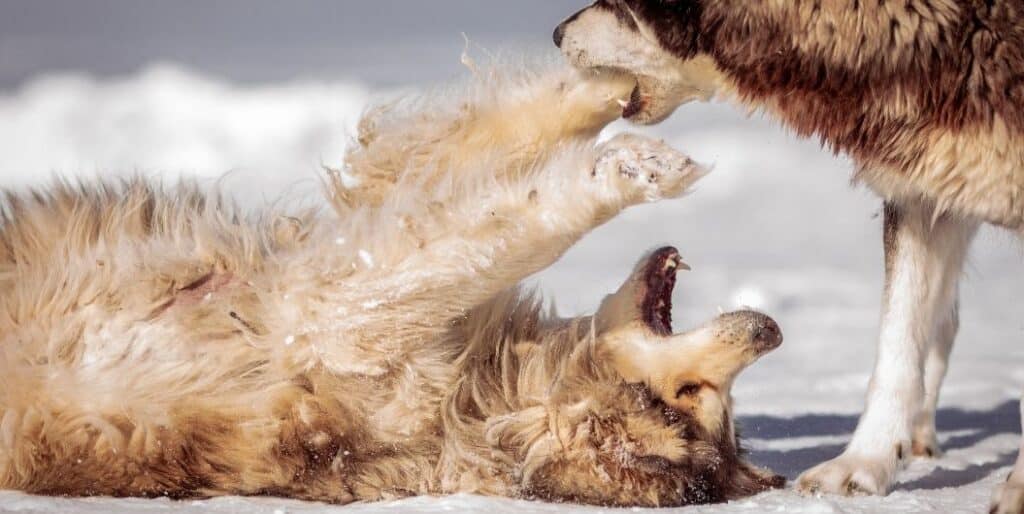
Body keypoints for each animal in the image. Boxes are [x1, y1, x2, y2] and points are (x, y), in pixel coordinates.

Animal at [0, 63, 786, 505]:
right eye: (694, 393)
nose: (771, 330)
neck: (482, 398)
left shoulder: (331, 315)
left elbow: (497, 229)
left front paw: (622, 169)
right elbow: (485, 163)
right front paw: (618, 84)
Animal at [557, 1, 1024, 509]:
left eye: (619, 6)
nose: (558, 33)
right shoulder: (920, 191)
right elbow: (896, 348)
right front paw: (863, 466)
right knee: (945, 322)